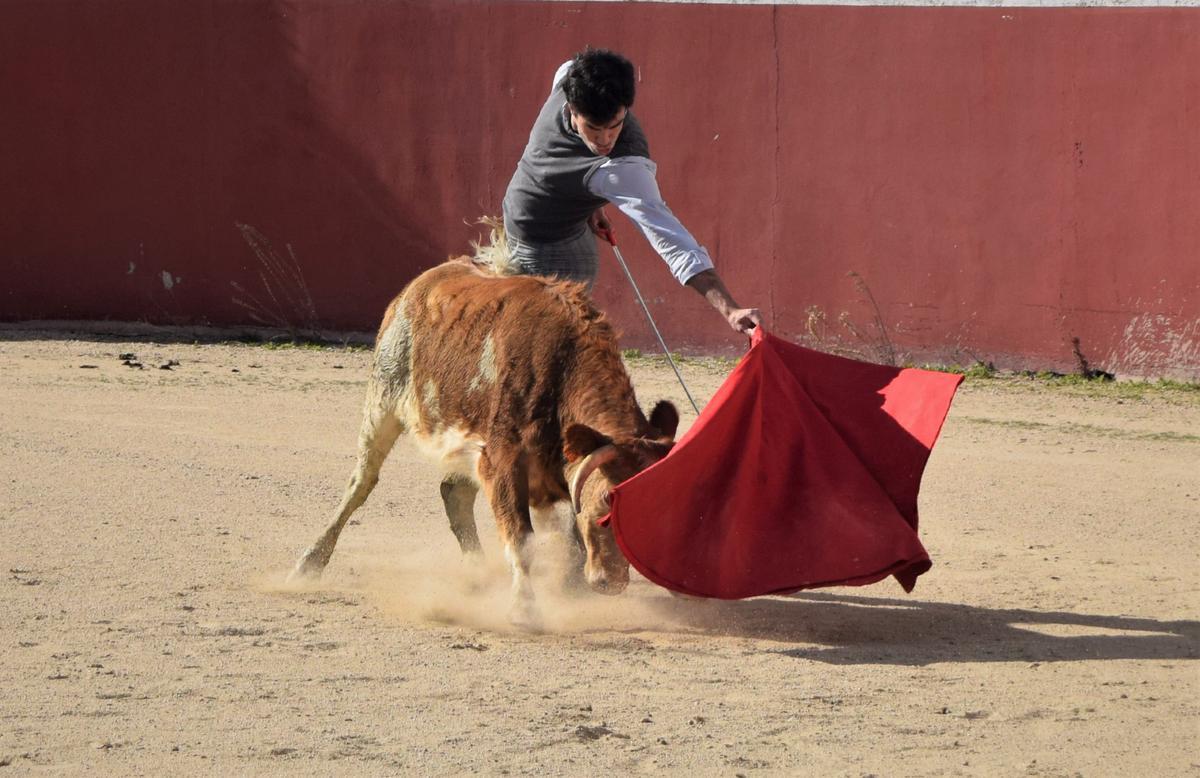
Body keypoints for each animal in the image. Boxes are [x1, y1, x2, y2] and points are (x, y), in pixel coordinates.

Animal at [286, 258, 681, 629]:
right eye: (604, 506)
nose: (610, 583)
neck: (561, 370)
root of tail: (422, 282)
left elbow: (564, 539)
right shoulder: (502, 460)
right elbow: (522, 539)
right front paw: (524, 610)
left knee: (454, 493)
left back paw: (477, 575)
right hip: (383, 399)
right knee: (361, 483)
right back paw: (308, 564)